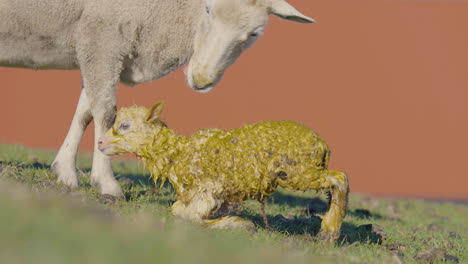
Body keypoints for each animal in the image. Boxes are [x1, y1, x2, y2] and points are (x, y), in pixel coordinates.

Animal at [0, 0, 314, 196]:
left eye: (254, 33)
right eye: (208, 10)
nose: (201, 79)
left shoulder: (101, 50)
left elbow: (85, 111)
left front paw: (65, 171)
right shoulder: (101, 38)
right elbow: (106, 113)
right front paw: (107, 183)